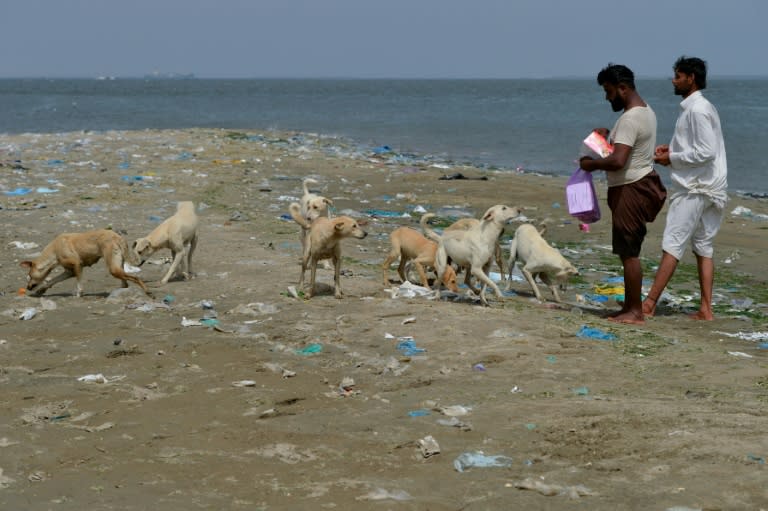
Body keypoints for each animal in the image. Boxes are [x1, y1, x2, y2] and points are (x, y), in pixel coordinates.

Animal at [19, 230, 152, 298]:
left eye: (29, 275)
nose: (28, 287)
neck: (54, 250)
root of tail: (118, 237)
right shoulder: (69, 272)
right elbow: (52, 281)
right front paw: (41, 290)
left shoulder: (77, 265)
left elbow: (79, 282)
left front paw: (79, 293)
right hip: (117, 266)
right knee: (125, 283)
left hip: (113, 269)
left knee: (136, 278)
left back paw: (148, 292)